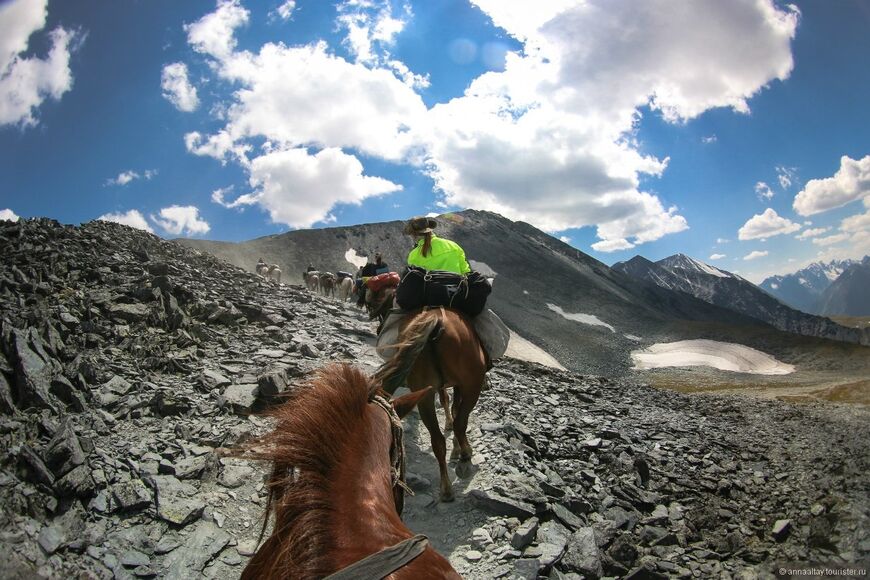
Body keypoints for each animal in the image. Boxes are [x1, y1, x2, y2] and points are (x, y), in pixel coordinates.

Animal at [372, 308, 488, 502]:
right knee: (460, 423)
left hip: (423, 392)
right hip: (472, 384)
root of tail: (435, 319)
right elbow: (455, 409)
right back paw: (465, 457)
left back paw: (446, 488)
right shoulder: (459, 385)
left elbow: (447, 401)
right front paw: (457, 448)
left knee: (438, 439)